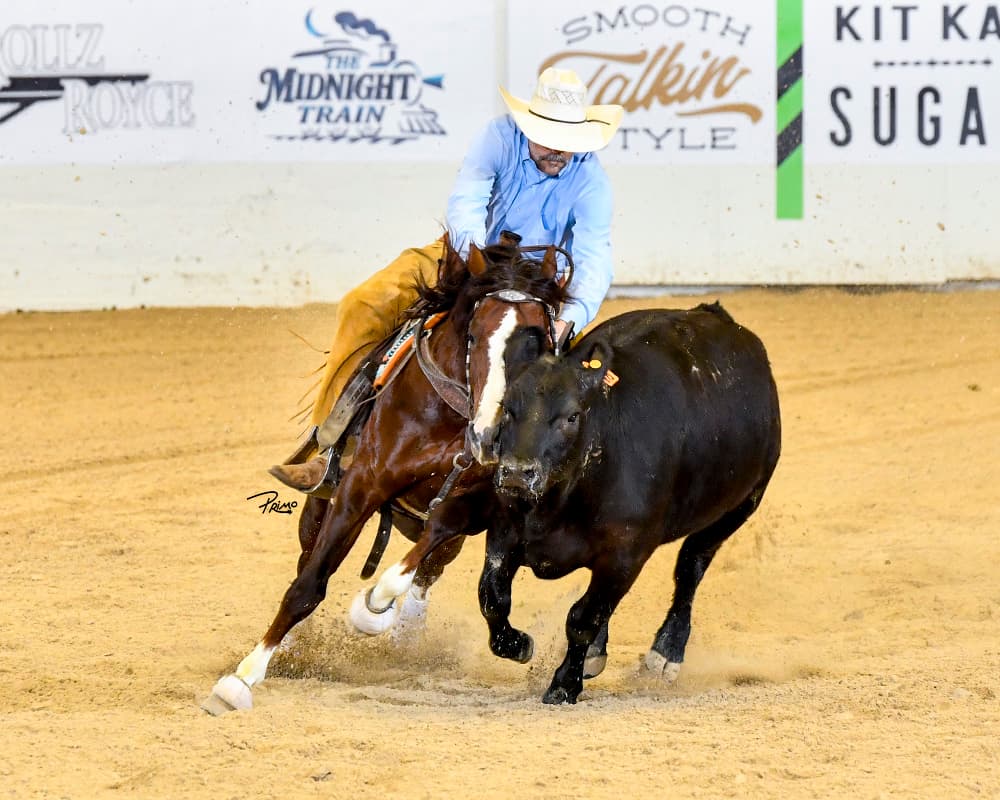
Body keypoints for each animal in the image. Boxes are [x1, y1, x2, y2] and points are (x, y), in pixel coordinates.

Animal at [205, 239, 569, 712]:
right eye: (473, 336)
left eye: (540, 344)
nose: (488, 436)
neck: (449, 420)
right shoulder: (361, 485)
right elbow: (308, 585)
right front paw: (239, 680)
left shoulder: (470, 508)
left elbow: (408, 568)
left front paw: (373, 609)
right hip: (321, 503)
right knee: (309, 557)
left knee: (426, 571)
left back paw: (402, 629)